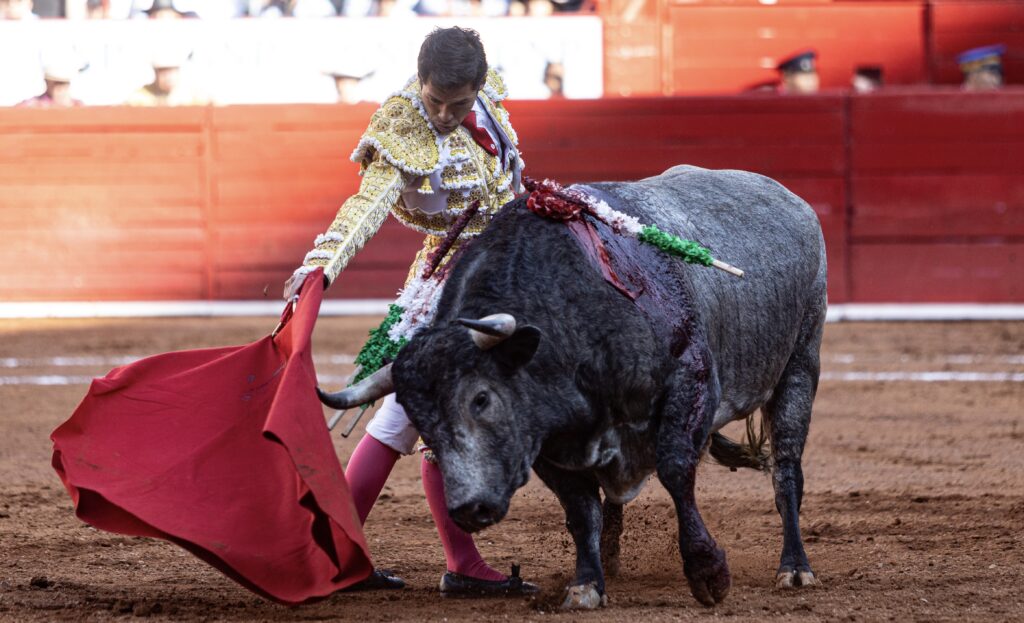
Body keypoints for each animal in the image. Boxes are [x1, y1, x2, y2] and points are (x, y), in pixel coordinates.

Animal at [323, 165, 827, 606]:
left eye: (482, 398)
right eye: (419, 417)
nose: (468, 508)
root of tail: (792, 198)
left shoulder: (692, 380)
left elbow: (676, 472)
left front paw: (709, 574)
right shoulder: (546, 441)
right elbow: (581, 509)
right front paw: (587, 584)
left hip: (800, 365)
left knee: (786, 469)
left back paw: (795, 568)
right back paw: (610, 556)